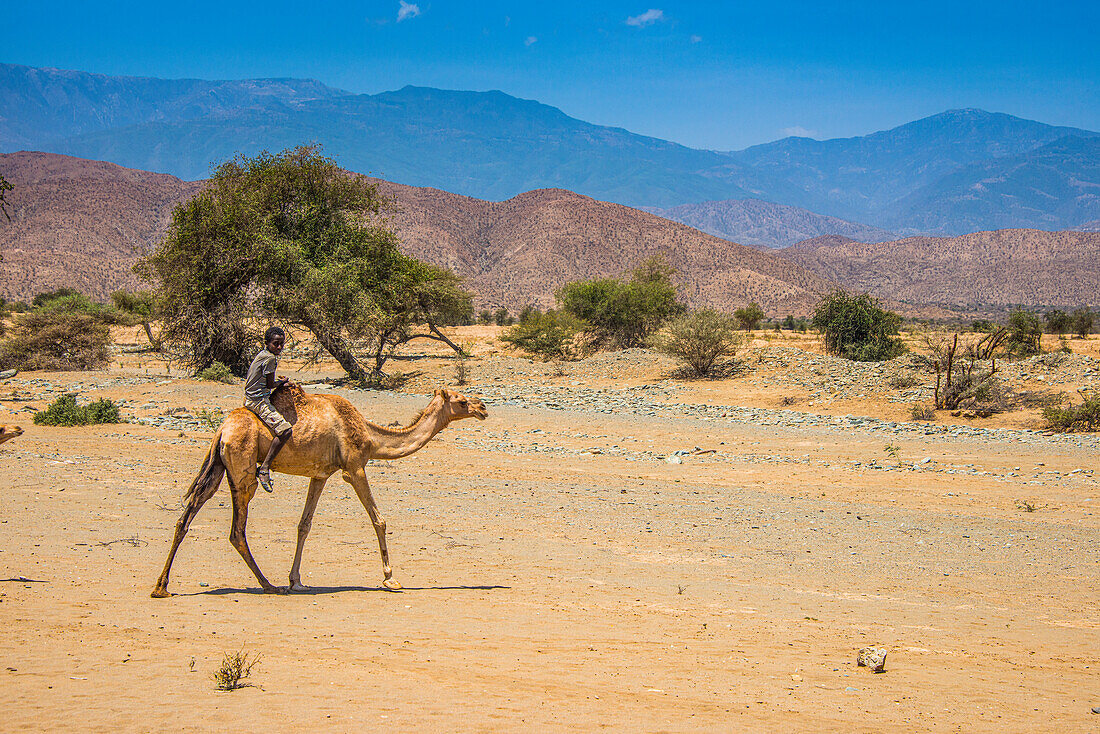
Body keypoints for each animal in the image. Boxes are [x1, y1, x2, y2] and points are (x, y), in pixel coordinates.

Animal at [150, 385, 486, 598]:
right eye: (460, 400)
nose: (483, 407)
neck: (370, 436)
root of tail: (222, 429)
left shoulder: (320, 474)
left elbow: (304, 525)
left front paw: (296, 580)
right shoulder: (354, 468)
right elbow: (379, 520)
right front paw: (391, 578)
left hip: (218, 466)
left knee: (186, 515)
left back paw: (161, 587)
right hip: (243, 471)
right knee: (236, 529)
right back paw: (268, 585)